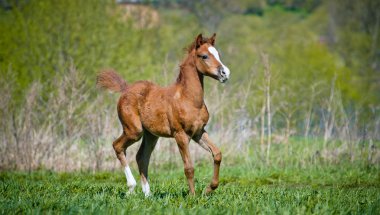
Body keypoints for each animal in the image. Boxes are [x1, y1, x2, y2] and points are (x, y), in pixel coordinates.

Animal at [96, 33, 230, 197]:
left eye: (218, 54)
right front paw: (193, 197)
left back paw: (148, 195)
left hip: (151, 135)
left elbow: (217, 154)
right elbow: (189, 168)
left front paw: (209, 189)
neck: (189, 99)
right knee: (118, 146)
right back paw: (132, 187)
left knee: (141, 157)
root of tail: (126, 89)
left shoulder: (198, 132)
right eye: (204, 56)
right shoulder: (180, 135)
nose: (225, 73)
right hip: (134, 131)